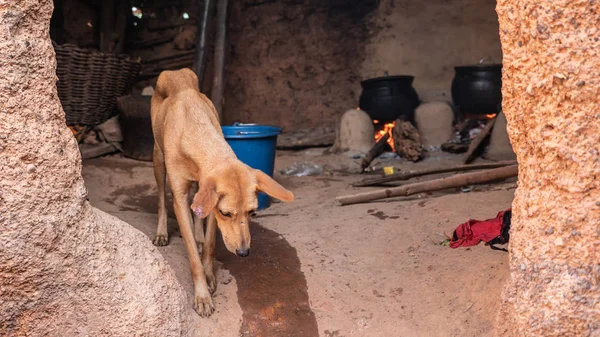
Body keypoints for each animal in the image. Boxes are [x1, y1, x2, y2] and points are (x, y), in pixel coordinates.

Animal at [151, 68, 294, 316]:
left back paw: (198, 235)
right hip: (158, 160)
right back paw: (162, 233)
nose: (244, 253)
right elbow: (193, 257)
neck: (195, 129)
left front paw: (209, 273)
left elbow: (209, 245)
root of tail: (176, 73)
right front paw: (202, 296)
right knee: (161, 199)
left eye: (252, 213)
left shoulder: (211, 202)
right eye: (227, 214)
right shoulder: (181, 199)